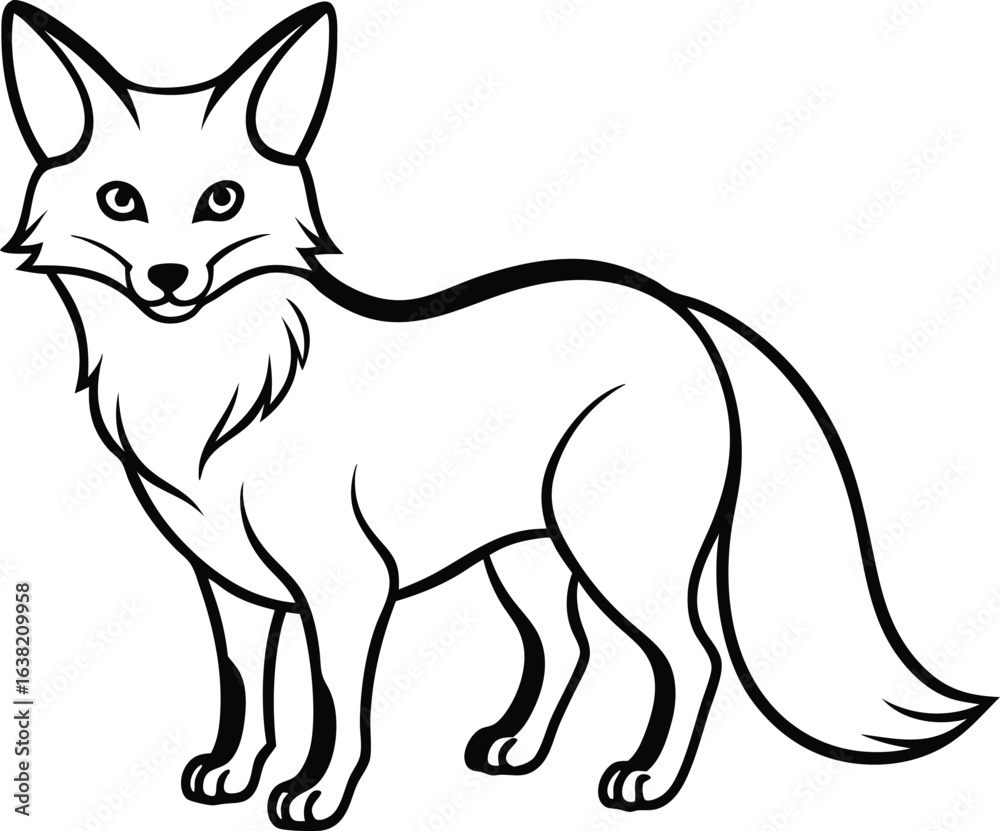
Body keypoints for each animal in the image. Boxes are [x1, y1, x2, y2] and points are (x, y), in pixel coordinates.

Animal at [2, 3, 994, 829]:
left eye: (221, 202)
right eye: (121, 201)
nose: (170, 279)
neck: (214, 396)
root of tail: (676, 303)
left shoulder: (346, 586)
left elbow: (333, 705)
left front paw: (318, 793)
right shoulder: (233, 586)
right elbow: (248, 692)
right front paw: (232, 775)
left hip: (617, 551)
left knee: (695, 655)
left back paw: (647, 780)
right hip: (527, 556)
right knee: (569, 647)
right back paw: (516, 748)